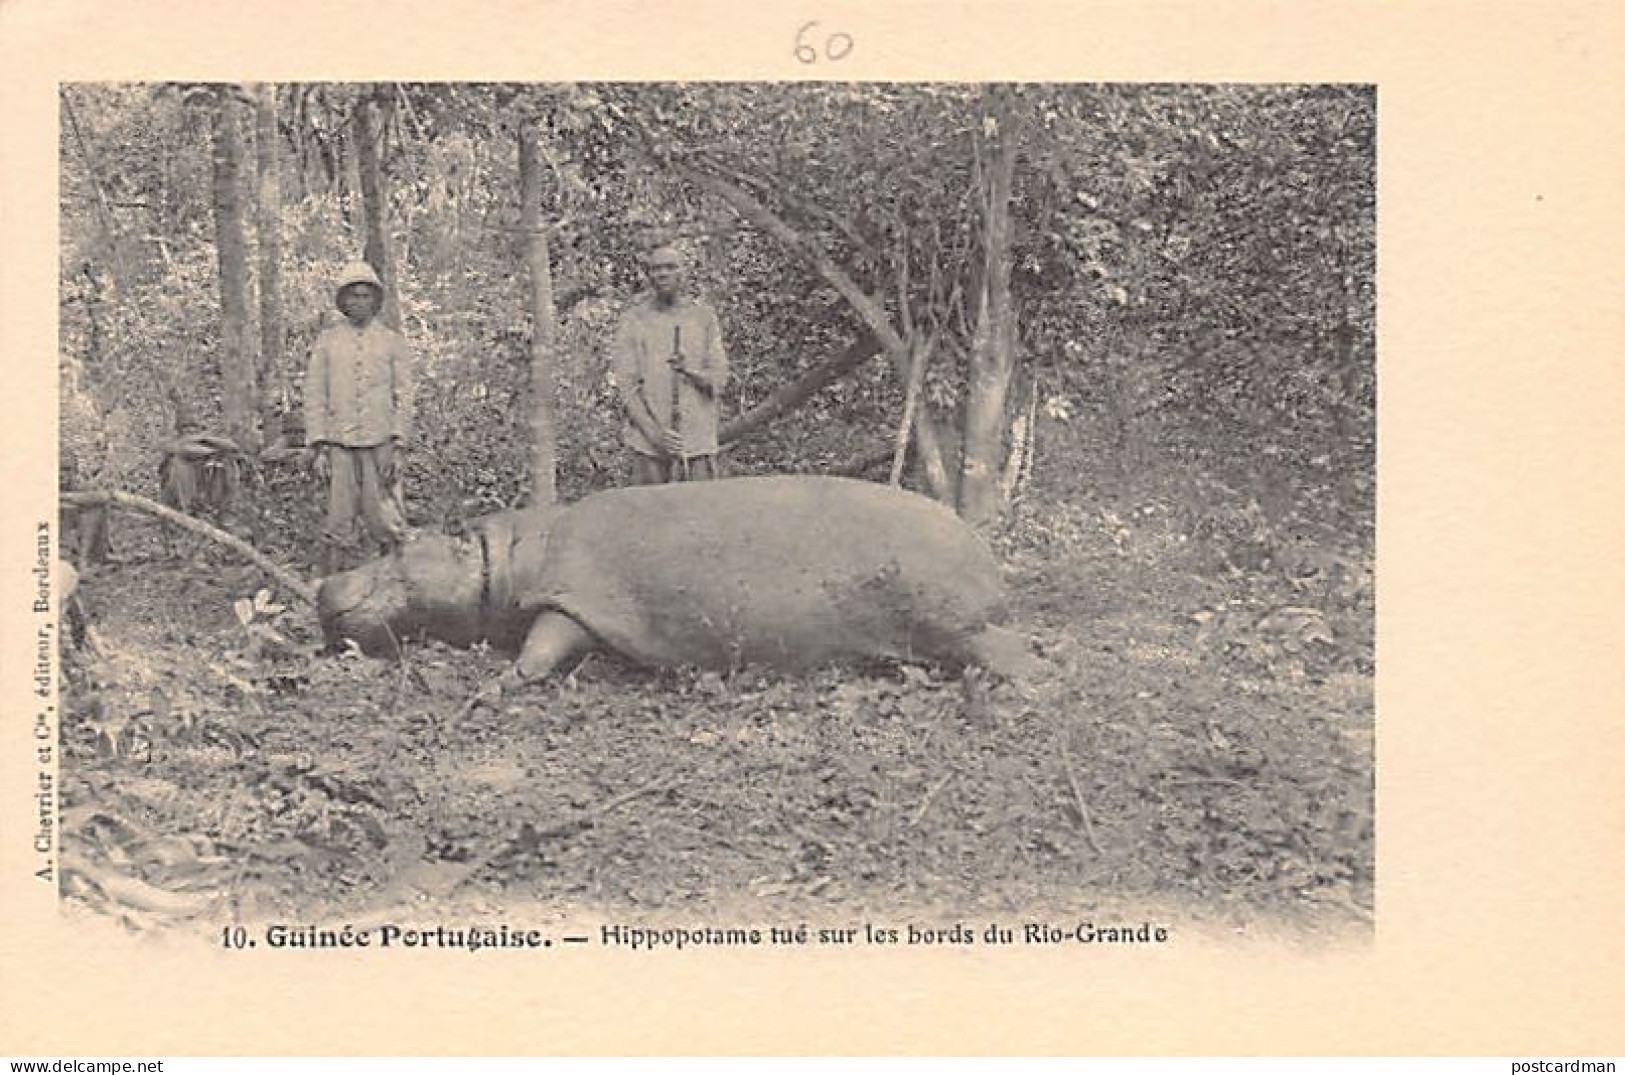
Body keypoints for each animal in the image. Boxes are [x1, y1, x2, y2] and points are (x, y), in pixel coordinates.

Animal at [316, 475, 1037, 683]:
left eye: (399, 541)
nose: (323, 590)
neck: (507, 556)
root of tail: (988, 562)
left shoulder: (573, 599)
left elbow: (541, 646)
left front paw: (499, 683)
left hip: (956, 617)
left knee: (999, 648)